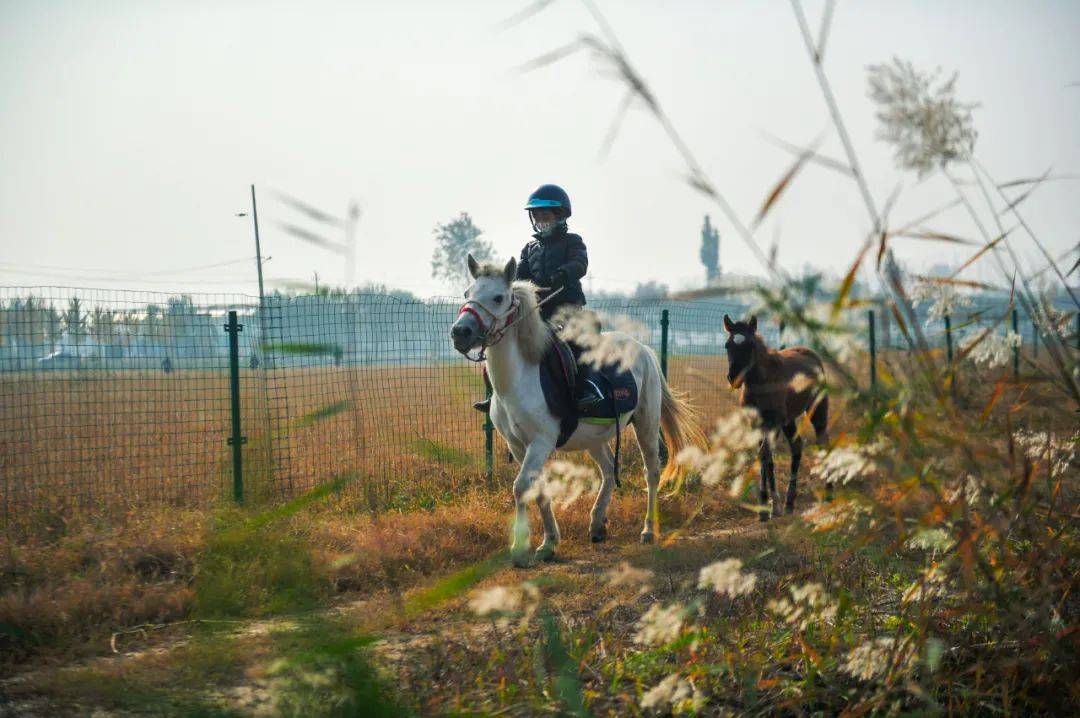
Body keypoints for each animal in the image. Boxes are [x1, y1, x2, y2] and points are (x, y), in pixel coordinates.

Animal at [447, 253, 699, 565]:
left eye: (498, 297)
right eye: (467, 293)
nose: (460, 332)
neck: (519, 378)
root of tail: (644, 349)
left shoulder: (541, 442)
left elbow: (521, 487)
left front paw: (520, 548)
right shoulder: (518, 446)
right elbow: (539, 489)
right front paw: (548, 544)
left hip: (647, 424)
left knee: (651, 472)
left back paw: (648, 531)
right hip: (594, 438)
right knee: (608, 471)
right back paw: (598, 524)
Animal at [721, 313, 829, 520]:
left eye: (751, 345)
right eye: (727, 345)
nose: (734, 378)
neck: (761, 383)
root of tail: (812, 355)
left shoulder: (774, 423)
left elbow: (766, 455)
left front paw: (769, 507)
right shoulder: (756, 424)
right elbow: (764, 456)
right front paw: (769, 506)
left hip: (817, 409)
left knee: (823, 442)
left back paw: (829, 493)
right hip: (789, 420)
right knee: (797, 446)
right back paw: (789, 503)